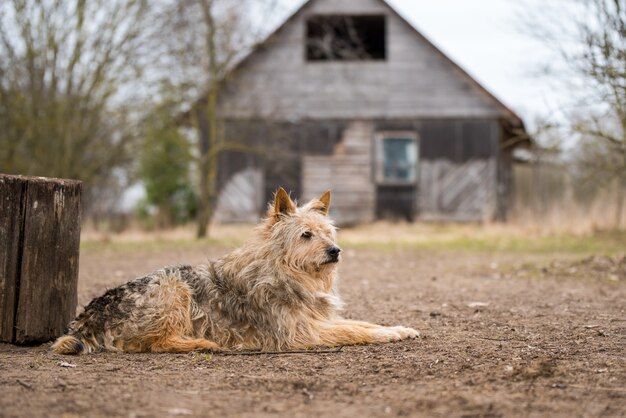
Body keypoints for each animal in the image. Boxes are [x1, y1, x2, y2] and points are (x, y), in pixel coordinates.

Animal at [51, 188, 416, 354]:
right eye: (305, 235)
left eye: (328, 233)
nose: (335, 251)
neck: (286, 272)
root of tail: (84, 319)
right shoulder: (300, 333)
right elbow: (354, 331)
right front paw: (387, 334)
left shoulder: (316, 319)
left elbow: (363, 323)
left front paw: (399, 328)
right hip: (173, 286)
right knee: (155, 343)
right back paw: (203, 343)